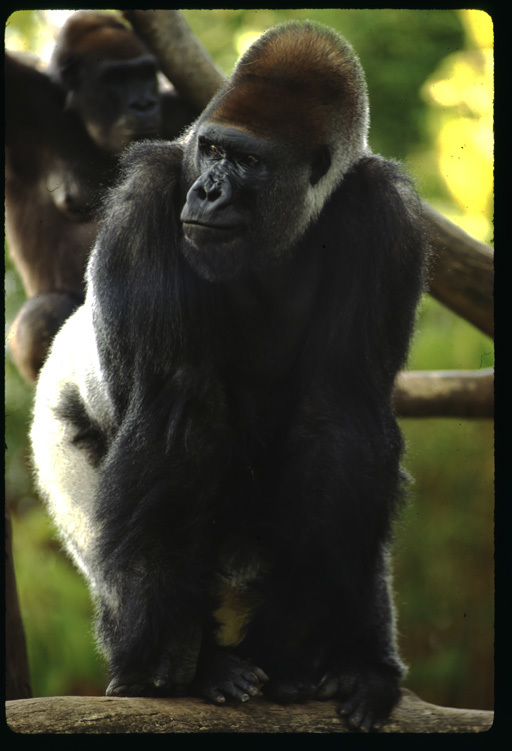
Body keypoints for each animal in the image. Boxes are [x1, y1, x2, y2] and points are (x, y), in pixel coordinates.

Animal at [30, 20, 426, 732]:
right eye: (211, 150)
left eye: (247, 162)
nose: (207, 191)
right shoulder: (148, 195)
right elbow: (178, 406)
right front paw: (168, 655)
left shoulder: (389, 215)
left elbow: (339, 417)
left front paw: (296, 643)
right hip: (53, 429)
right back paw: (188, 659)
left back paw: (366, 662)